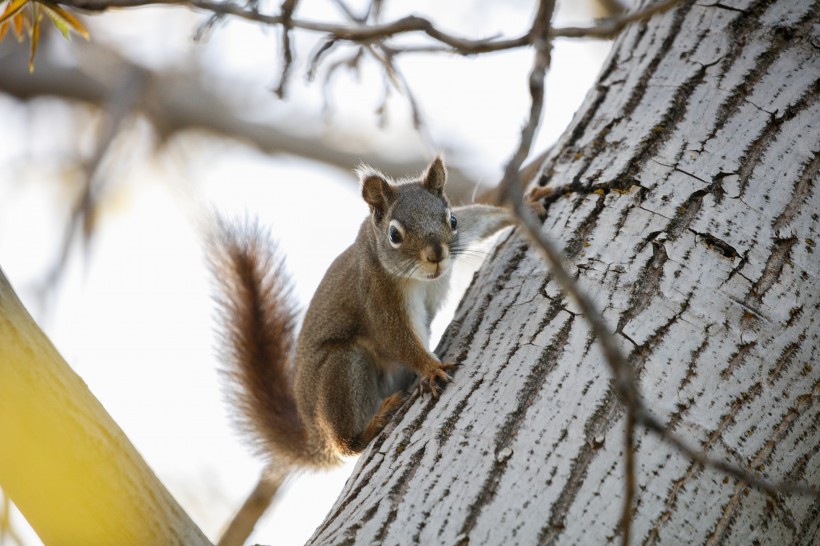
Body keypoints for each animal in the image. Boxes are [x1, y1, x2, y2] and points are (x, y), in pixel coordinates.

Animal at [211, 155, 516, 470]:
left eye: (452, 220)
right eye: (394, 234)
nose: (436, 255)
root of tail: (315, 434)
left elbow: (479, 218)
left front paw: (522, 209)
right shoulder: (377, 295)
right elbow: (396, 338)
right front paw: (431, 368)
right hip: (344, 368)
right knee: (347, 443)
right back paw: (374, 423)